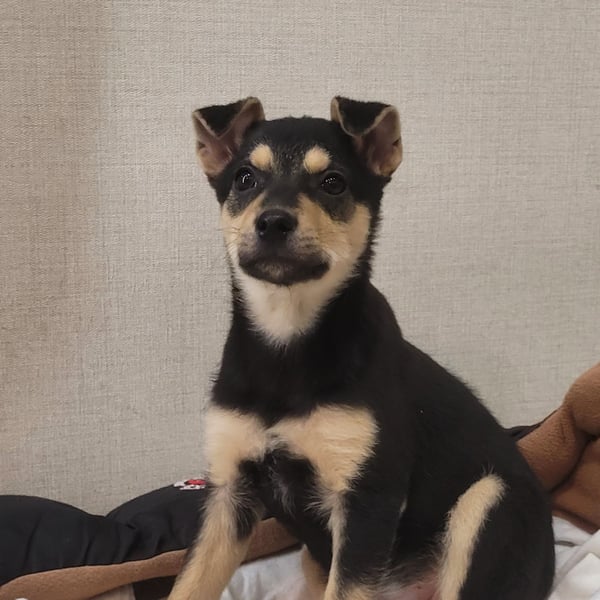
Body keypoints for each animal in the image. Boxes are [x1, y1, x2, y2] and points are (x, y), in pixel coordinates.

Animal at [168, 97, 555, 600]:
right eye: (245, 179)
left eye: (333, 182)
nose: (273, 221)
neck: (287, 344)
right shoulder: (230, 492)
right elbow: (190, 583)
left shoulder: (368, 501)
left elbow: (347, 586)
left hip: (489, 502)